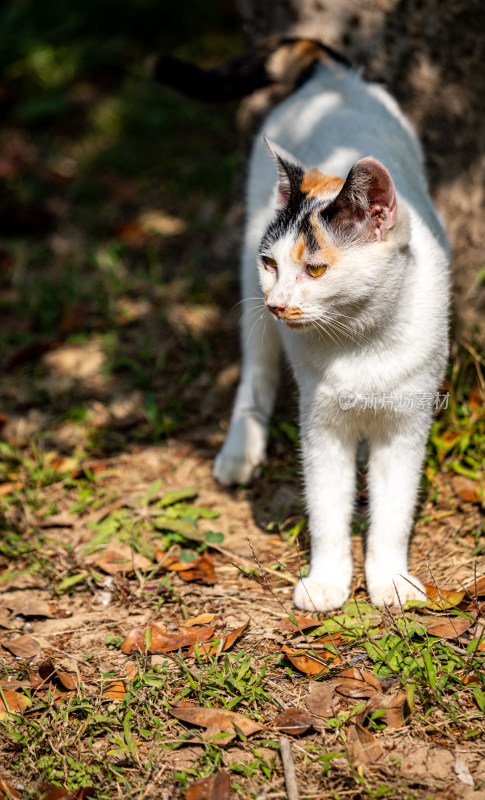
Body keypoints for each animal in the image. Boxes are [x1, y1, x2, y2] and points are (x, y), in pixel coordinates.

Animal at [153, 36, 448, 612]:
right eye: (273, 264)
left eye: (315, 269)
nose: (279, 302)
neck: (362, 341)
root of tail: (331, 77)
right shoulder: (321, 424)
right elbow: (328, 510)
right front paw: (328, 582)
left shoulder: (408, 425)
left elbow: (394, 513)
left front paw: (390, 582)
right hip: (250, 293)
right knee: (257, 371)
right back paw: (239, 452)